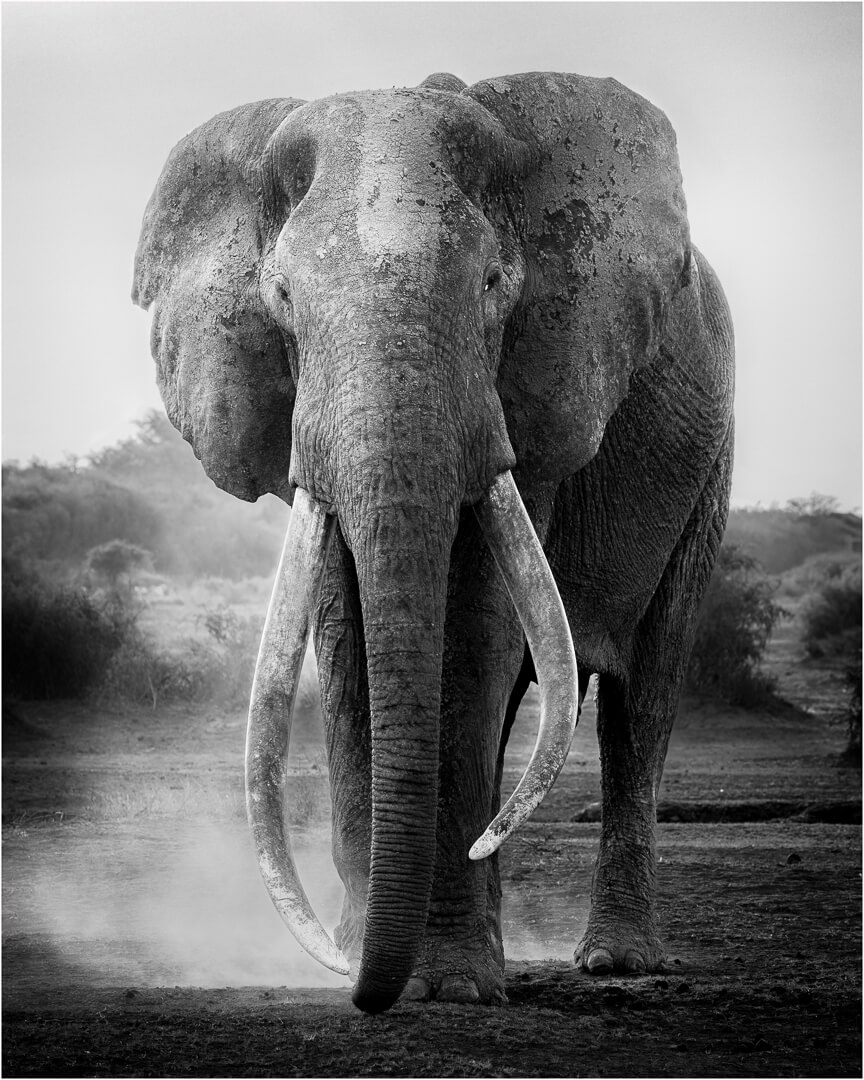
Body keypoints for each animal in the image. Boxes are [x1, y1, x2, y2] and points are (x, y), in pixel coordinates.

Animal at [133, 69, 734, 1010]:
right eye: (281, 302)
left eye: (492, 284)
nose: (363, 987)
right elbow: (346, 637)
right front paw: (367, 962)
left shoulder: (530, 396)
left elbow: (477, 636)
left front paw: (445, 985)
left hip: (709, 468)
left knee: (647, 691)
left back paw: (618, 962)